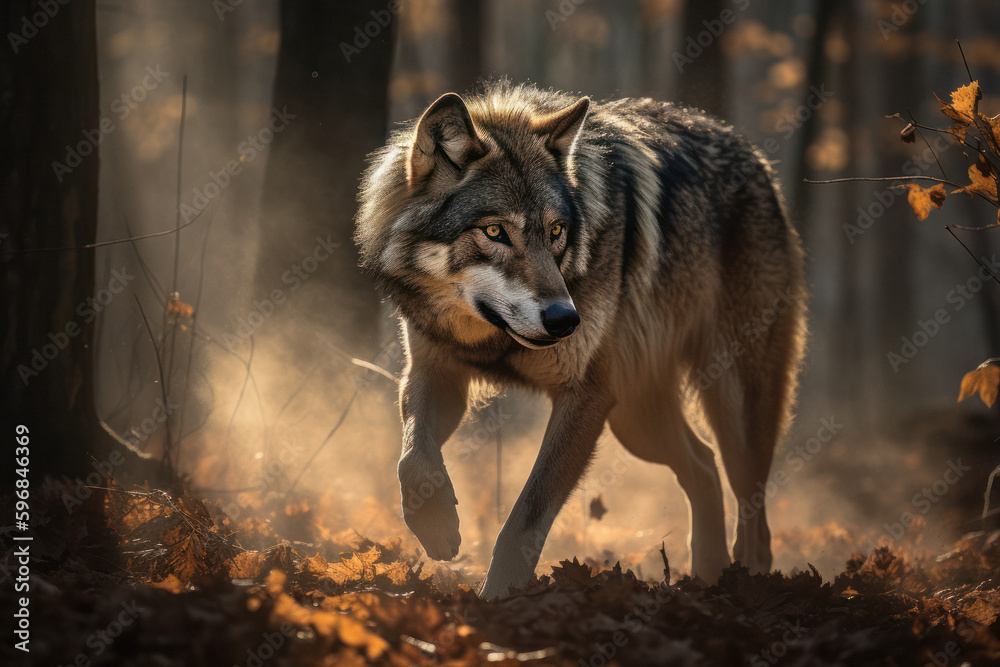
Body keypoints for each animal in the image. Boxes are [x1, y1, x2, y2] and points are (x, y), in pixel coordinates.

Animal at [355, 81, 806, 600]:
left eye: (556, 231)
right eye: (495, 231)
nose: (565, 319)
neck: (492, 339)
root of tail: (755, 156)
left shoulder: (585, 396)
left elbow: (524, 520)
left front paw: (496, 601)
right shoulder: (435, 373)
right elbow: (413, 457)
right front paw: (434, 525)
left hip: (730, 406)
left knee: (752, 510)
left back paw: (745, 582)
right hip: (638, 420)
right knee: (703, 465)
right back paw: (708, 575)